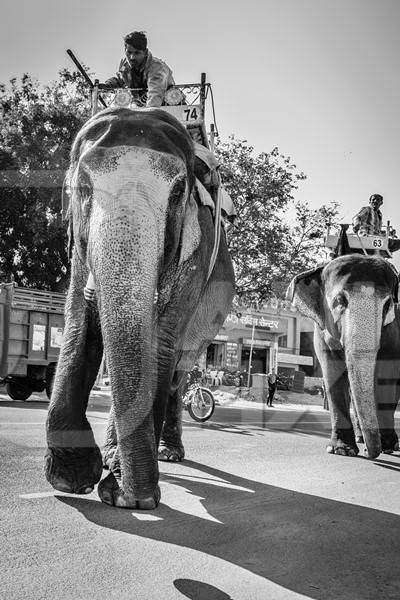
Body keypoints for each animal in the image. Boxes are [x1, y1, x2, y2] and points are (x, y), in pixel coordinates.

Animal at [44, 106, 234, 506]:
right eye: (83, 187)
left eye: (178, 193)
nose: (140, 497)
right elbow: (78, 320)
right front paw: (72, 479)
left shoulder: (197, 250)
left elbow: (159, 341)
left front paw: (122, 494)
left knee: (179, 368)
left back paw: (166, 453)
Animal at [288, 254, 400, 460]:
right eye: (339, 301)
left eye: (388, 304)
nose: (372, 452)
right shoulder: (321, 331)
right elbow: (333, 374)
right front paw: (341, 450)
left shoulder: (393, 330)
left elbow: (385, 377)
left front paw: (387, 447)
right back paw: (360, 439)